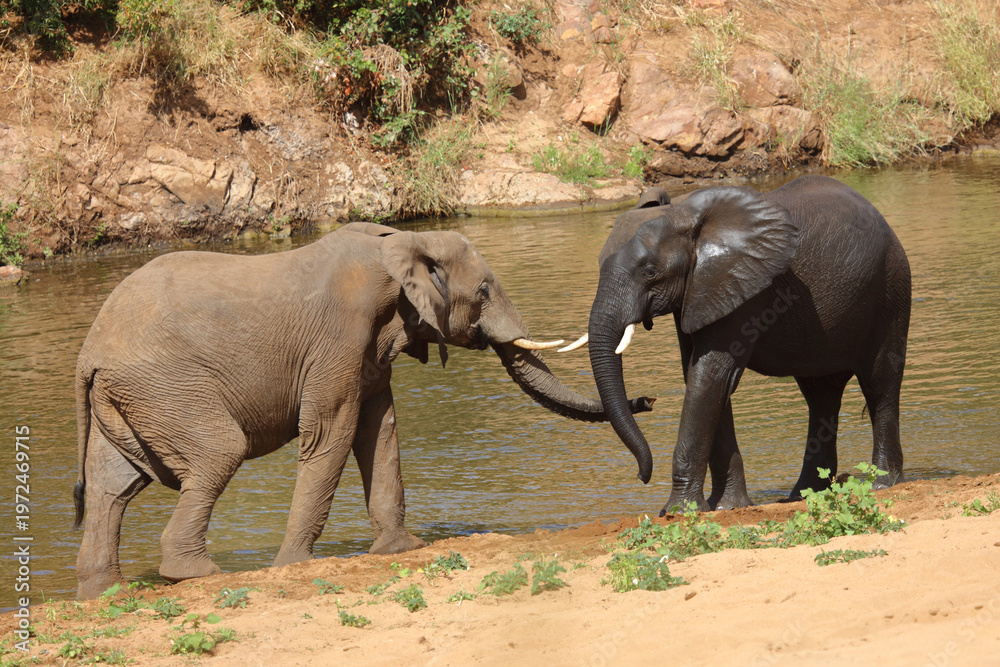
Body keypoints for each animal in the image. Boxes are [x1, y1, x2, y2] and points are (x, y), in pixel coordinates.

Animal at [72, 222, 653, 599]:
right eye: (485, 290)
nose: (648, 400)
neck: (401, 243)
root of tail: (88, 352)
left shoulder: (371, 348)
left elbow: (380, 429)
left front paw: (402, 549)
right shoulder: (340, 337)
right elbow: (331, 430)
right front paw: (295, 565)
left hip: (130, 397)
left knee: (112, 485)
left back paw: (103, 590)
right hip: (166, 387)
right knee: (218, 451)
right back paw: (194, 574)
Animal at [581, 174, 910, 513]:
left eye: (650, 272)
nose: (641, 476)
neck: (684, 215)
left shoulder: (742, 286)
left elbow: (709, 376)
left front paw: (678, 512)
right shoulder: (699, 290)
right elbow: (701, 377)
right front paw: (728, 507)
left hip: (891, 288)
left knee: (880, 382)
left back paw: (882, 483)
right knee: (821, 395)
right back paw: (802, 494)